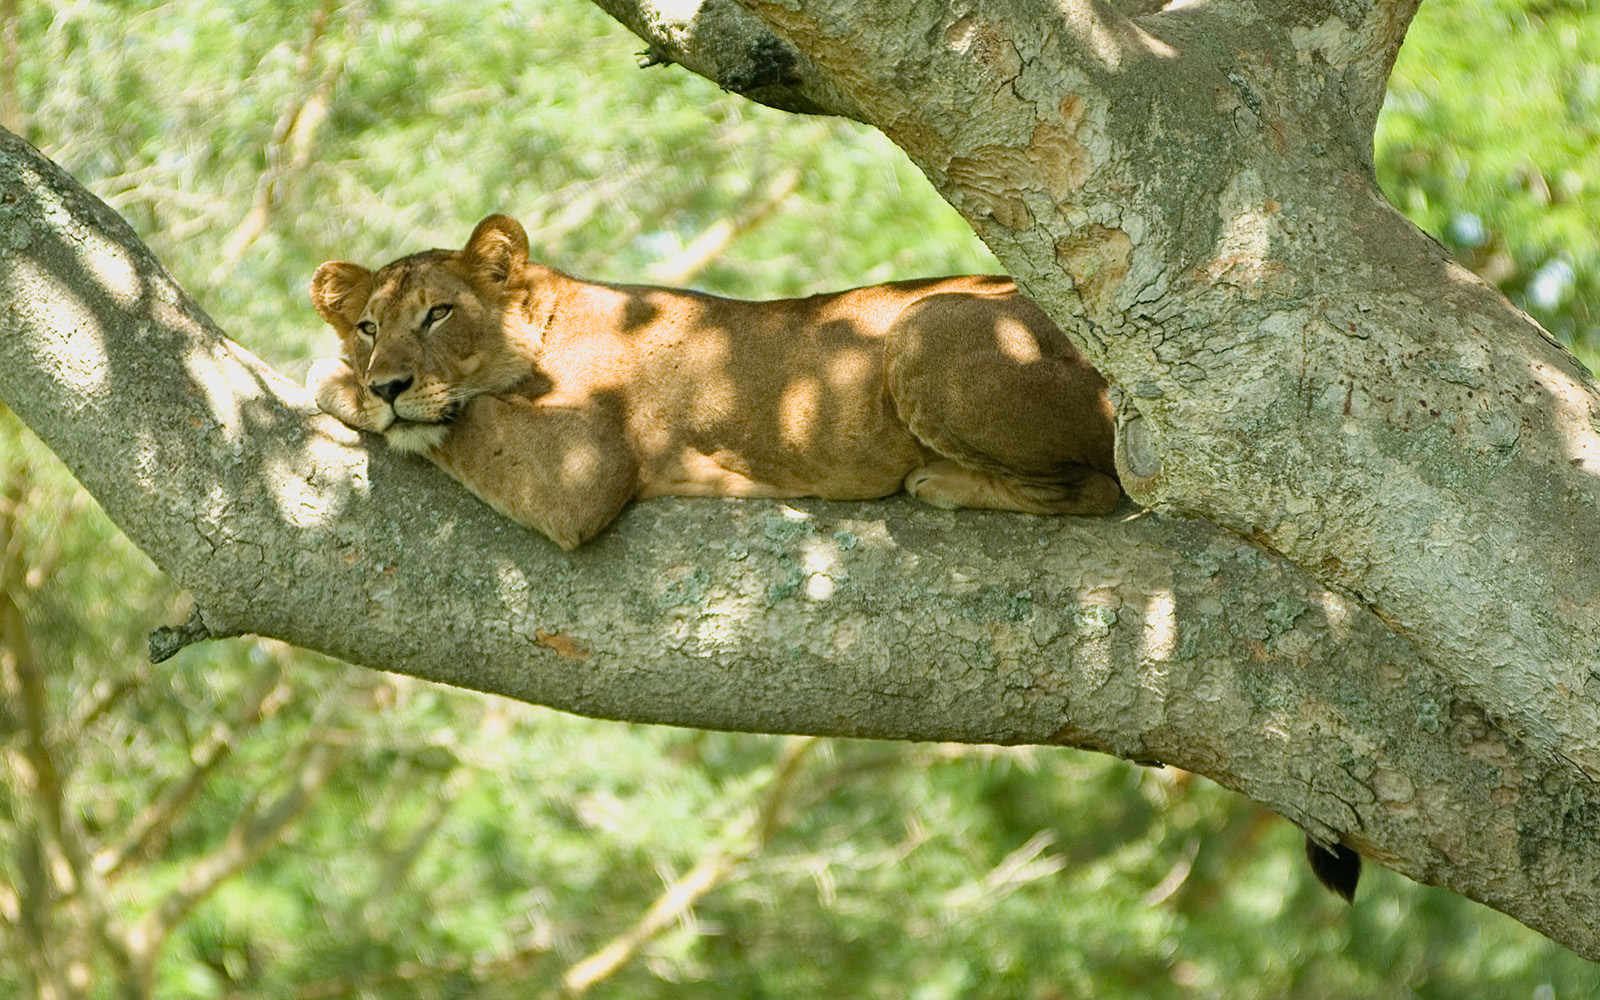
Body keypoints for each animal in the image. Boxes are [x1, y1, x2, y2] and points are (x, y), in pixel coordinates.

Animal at [307, 214, 1119, 549]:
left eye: (439, 313)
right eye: (368, 326)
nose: (387, 384)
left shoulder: (583, 477)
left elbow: (469, 423)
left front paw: (337, 380)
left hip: (925, 326)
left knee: (1098, 488)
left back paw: (941, 481)